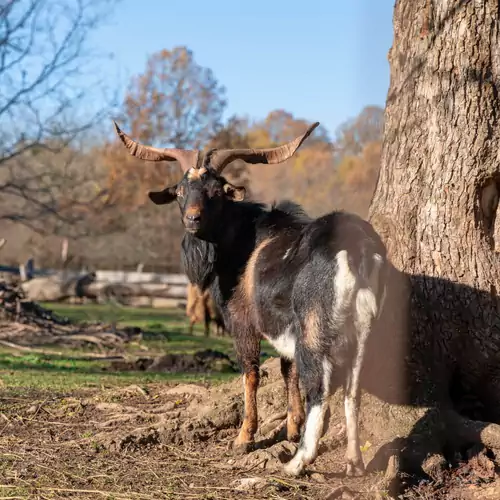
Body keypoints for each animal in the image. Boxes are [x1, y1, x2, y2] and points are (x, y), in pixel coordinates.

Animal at [114, 120, 390, 476]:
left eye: (217, 191)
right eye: (180, 191)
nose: (192, 220)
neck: (243, 240)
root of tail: (356, 250)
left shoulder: (242, 321)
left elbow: (251, 372)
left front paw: (244, 438)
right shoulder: (283, 325)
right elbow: (287, 371)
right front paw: (291, 427)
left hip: (316, 329)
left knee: (320, 389)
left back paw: (297, 464)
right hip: (364, 328)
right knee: (352, 390)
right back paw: (354, 463)